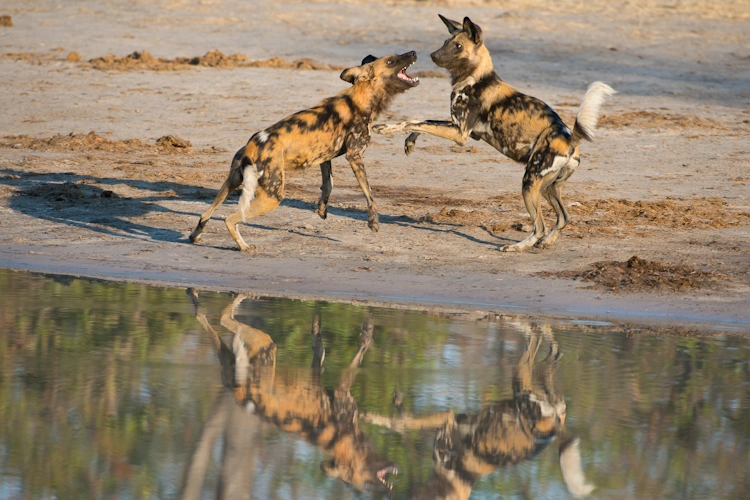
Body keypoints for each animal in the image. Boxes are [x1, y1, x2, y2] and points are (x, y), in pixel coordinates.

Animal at [188, 52, 420, 252]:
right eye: (391, 61)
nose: (414, 52)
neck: (361, 99)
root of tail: (253, 144)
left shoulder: (325, 155)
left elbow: (328, 184)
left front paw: (322, 209)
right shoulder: (354, 155)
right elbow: (369, 193)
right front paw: (373, 222)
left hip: (231, 182)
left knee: (206, 213)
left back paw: (195, 236)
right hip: (273, 196)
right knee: (230, 219)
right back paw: (244, 247)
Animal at [376, 17, 616, 252]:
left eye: (458, 46)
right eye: (446, 42)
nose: (433, 55)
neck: (473, 78)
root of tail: (569, 137)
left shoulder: (459, 134)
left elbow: (415, 121)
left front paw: (385, 128)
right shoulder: (460, 128)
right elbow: (424, 121)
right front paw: (409, 143)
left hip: (530, 183)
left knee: (540, 226)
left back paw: (517, 246)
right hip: (548, 187)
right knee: (563, 218)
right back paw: (546, 243)